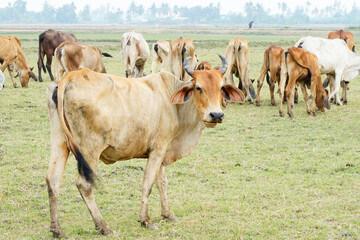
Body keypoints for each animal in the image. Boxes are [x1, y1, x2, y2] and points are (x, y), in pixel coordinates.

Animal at [43, 54, 243, 238]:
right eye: (198, 87)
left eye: (221, 87)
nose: (216, 115)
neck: (173, 103)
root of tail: (71, 77)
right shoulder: (158, 149)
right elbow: (148, 183)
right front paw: (145, 220)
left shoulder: (161, 151)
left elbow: (162, 183)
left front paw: (168, 214)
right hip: (89, 150)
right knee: (84, 185)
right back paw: (103, 226)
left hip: (60, 144)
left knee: (53, 181)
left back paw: (57, 229)